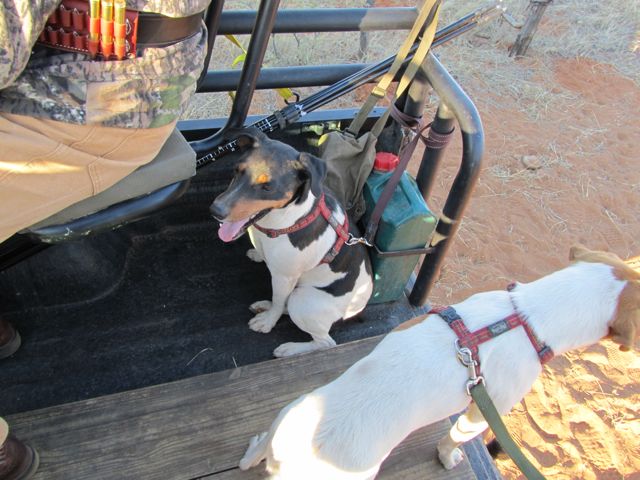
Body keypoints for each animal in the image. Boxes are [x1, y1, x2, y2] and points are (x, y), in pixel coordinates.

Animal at [210, 127, 372, 356]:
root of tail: (357, 309)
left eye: (267, 187)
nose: (215, 211)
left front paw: (268, 322)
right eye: (237, 170)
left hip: (302, 299)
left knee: (324, 341)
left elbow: (279, 303)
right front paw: (257, 255)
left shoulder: (283, 277)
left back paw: (289, 348)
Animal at [238, 246, 636, 478]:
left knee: (254, 451)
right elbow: (453, 439)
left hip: (285, 414)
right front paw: (449, 458)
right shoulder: (481, 415)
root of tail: (287, 454)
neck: (525, 315)